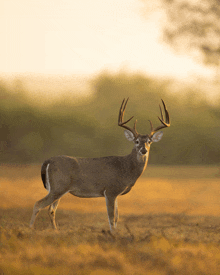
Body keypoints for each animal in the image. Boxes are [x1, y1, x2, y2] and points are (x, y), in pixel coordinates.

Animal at [29, 98, 170, 232]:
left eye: (149, 141)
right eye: (136, 141)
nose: (143, 150)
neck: (126, 168)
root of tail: (48, 160)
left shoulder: (116, 193)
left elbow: (117, 217)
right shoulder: (110, 190)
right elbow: (111, 217)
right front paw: (113, 234)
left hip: (58, 189)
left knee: (51, 210)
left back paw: (56, 230)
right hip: (58, 187)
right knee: (38, 204)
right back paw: (30, 229)